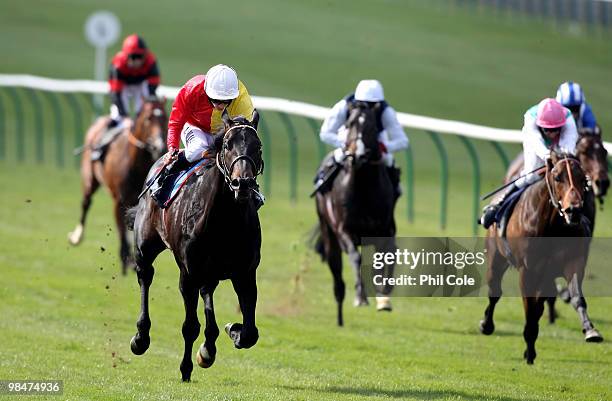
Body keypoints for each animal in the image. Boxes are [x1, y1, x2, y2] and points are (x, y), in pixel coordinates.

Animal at [68, 95, 167, 274]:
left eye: (165, 117)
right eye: (148, 118)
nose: (159, 145)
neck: (136, 165)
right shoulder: (119, 200)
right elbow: (121, 229)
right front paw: (125, 259)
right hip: (89, 178)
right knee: (86, 203)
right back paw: (76, 236)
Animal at [126, 111, 262, 382]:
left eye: (258, 146)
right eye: (228, 145)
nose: (242, 184)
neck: (225, 220)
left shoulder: (245, 273)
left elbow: (250, 333)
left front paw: (232, 330)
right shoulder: (188, 273)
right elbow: (190, 326)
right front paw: (185, 368)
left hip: (210, 272)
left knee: (207, 292)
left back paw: (209, 346)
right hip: (146, 247)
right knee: (145, 276)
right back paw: (141, 337)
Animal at [314, 101, 394, 324]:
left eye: (372, 127)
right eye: (349, 124)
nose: (357, 155)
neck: (364, 187)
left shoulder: (384, 230)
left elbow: (386, 259)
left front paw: (384, 298)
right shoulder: (345, 230)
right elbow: (356, 259)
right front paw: (360, 298)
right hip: (328, 231)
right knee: (336, 268)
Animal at [478, 152, 604, 364]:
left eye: (582, 178)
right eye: (558, 177)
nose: (574, 210)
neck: (551, 225)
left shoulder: (572, 263)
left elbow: (575, 297)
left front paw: (590, 330)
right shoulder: (527, 271)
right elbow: (529, 309)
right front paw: (529, 351)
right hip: (496, 259)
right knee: (495, 291)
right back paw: (486, 325)